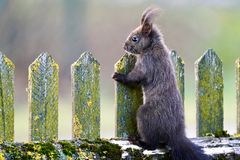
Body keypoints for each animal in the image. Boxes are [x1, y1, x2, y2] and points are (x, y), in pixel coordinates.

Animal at [112, 7, 210, 160]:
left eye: (135, 38)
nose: (124, 46)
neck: (151, 47)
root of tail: (175, 134)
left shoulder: (146, 65)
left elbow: (134, 78)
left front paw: (120, 76)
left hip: (146, 116)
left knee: (153, 144)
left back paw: (140, 142)